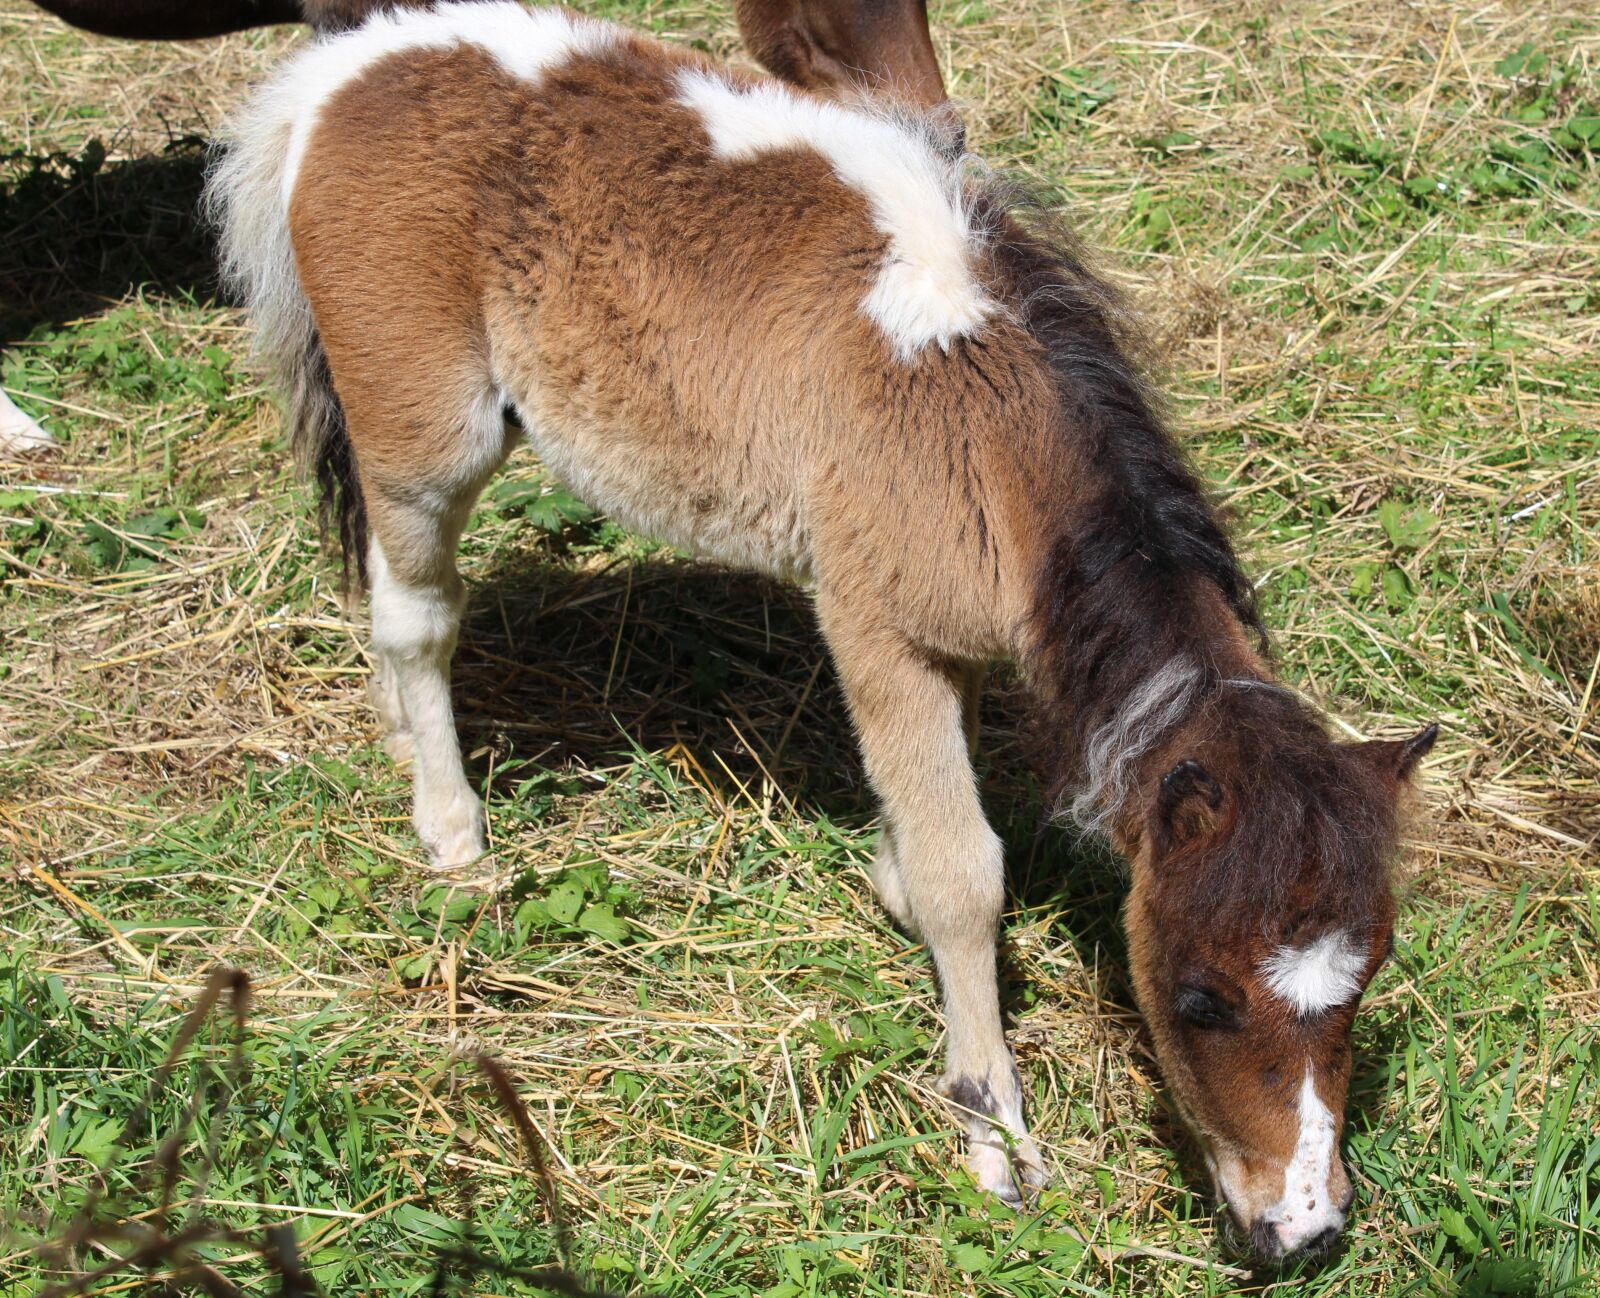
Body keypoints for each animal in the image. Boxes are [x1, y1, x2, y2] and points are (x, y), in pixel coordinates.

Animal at [206, 0, 1437, 1260]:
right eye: (1201, 994)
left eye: (1367, 976)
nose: (1304, 1229)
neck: (982, 424)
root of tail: (352, 64)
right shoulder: (876, 630)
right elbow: (963, 873)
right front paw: (995, 1135)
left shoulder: (954, 640)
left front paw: (889, 874)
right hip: (427, 428)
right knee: (418, 613)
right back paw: (453, 831)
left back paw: (404, 743)